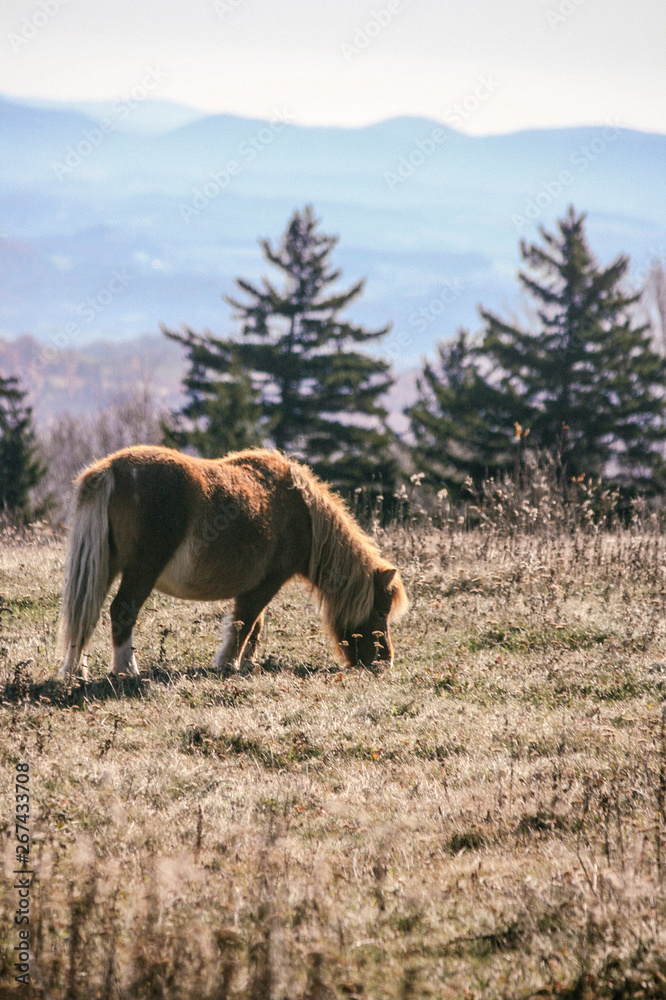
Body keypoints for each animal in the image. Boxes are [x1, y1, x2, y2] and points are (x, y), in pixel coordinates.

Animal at [58, 445, 408, 680]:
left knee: (86, 614)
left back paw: (77, 671)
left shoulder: (260, 585)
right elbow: (246, 621)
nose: (384, 662)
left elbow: (255, 625)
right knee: (121, 611)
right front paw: (229, 663)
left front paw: (248, 663)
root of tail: (111, 470)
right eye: (381, 611)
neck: (303, 514)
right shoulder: (268, 582)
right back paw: (126, 670)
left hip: (106, 568)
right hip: (140, 572)